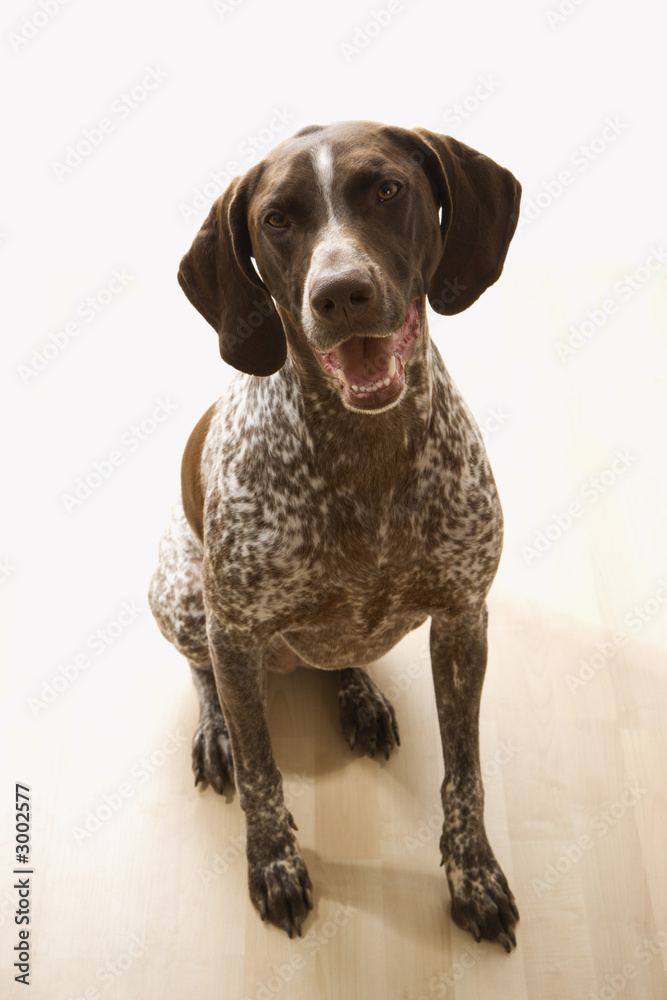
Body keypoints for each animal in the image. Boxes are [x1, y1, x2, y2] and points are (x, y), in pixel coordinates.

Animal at [149, 121, 524, 948]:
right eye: (276, 219)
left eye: (386, 188)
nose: (340, 293)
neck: (364, 456)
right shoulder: (234, 628)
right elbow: (261, 774)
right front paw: (274, 864)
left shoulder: (462, 621)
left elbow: (467, 774)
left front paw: (473, 873)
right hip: (180, 597)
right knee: (204, 674)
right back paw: (217, 731)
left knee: (341, 655)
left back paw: (360, 697)